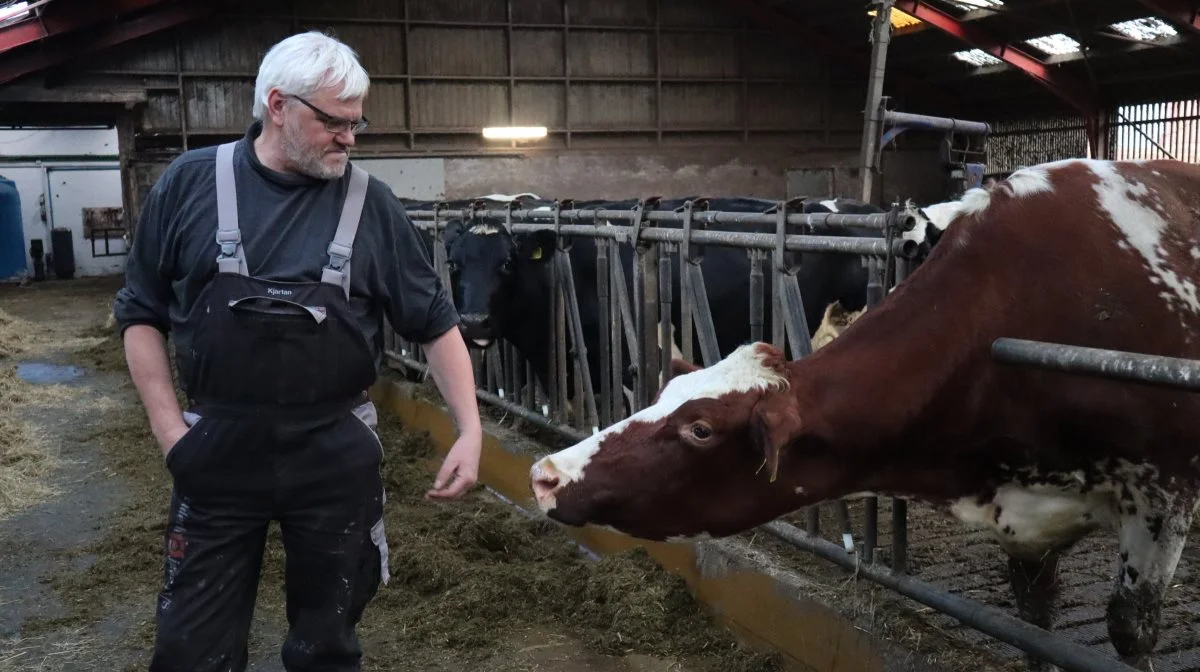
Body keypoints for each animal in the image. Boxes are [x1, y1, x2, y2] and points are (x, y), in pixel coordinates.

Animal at [530, 158, 1200, 672]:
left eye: (699, 429)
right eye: (668, 394)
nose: (544, 475)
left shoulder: (1165, 495)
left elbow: (1130, 630)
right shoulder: (1026, 519)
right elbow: (1036, 628)